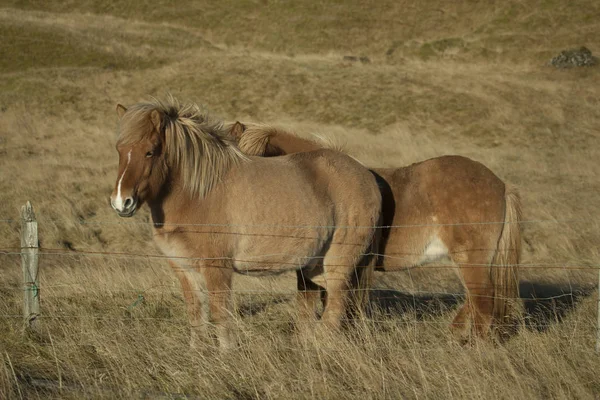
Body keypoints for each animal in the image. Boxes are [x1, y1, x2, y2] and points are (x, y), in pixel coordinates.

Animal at [108, 97, 380, 350]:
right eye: (119, 150)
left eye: (150, 151)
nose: (122, 202)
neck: (198, 195)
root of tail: (365, 174)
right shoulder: (184, 268)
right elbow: (196, 314)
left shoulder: (217, 268)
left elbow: (220, 315)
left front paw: (226, 356)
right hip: (314, 267)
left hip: (337, 266)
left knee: (335, 309)